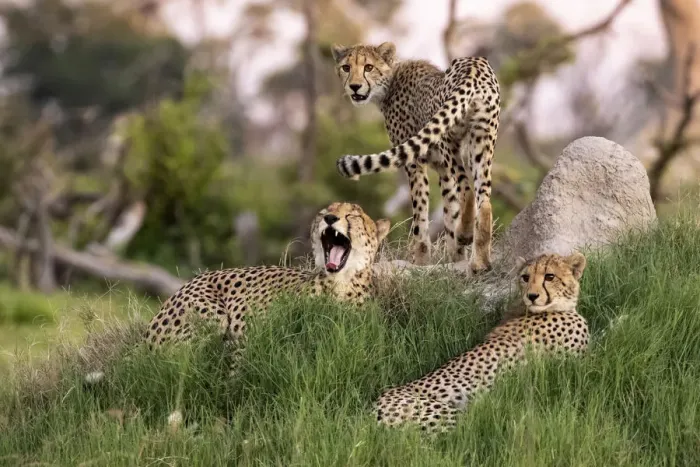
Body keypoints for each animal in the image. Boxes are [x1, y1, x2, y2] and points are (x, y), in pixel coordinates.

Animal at [331, 42, 501, 273]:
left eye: (368, 67)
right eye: (346, 67)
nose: (355, 87)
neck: (389, 83)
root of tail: (474, 66)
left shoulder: (415, 163)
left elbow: (420, 215)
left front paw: (420, 262)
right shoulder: (442, 170)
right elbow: (449, 210)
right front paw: (455, 257)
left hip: (449, 143)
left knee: (467, 188)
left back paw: (466, 235)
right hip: (482, 143)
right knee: (484, 199)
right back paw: (480, 262)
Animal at [374, 252, 589, 434]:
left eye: (550, 277)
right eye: (525, 277)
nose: (532, 296)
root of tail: (375, 407)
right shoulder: (571, 362)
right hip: (445, 414)